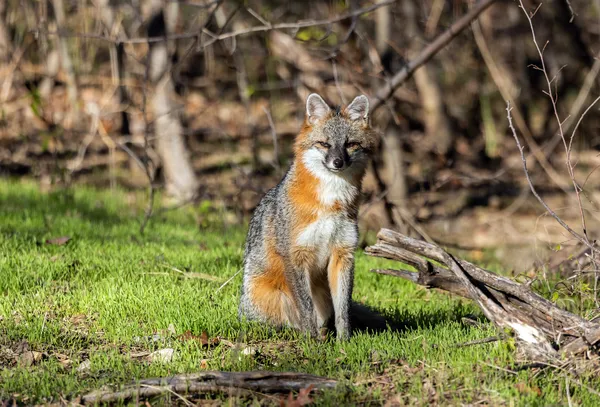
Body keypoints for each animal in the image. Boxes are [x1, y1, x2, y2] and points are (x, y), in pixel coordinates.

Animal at [238, 93, 376, 342]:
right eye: (324, 144)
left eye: (350, 144)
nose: (338, 162)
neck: (331, 202)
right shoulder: (295, 255)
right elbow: (306, 307)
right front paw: (312, 343)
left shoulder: (343, 253)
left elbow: (343, 309)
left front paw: (344, 342)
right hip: (275, 299)